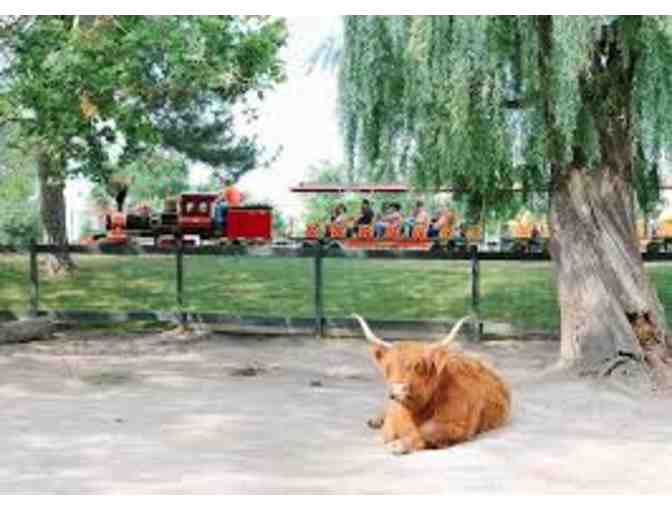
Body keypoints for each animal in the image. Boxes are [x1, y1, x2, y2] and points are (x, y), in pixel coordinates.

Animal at [352, 314, 510, 454]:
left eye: (418, 366)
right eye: (388, 366)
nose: (397, 390)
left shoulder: (459, 426)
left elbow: (427, 431)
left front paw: (398, 445)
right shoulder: (392, 419)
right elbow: (387, 433)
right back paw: (374, 420)